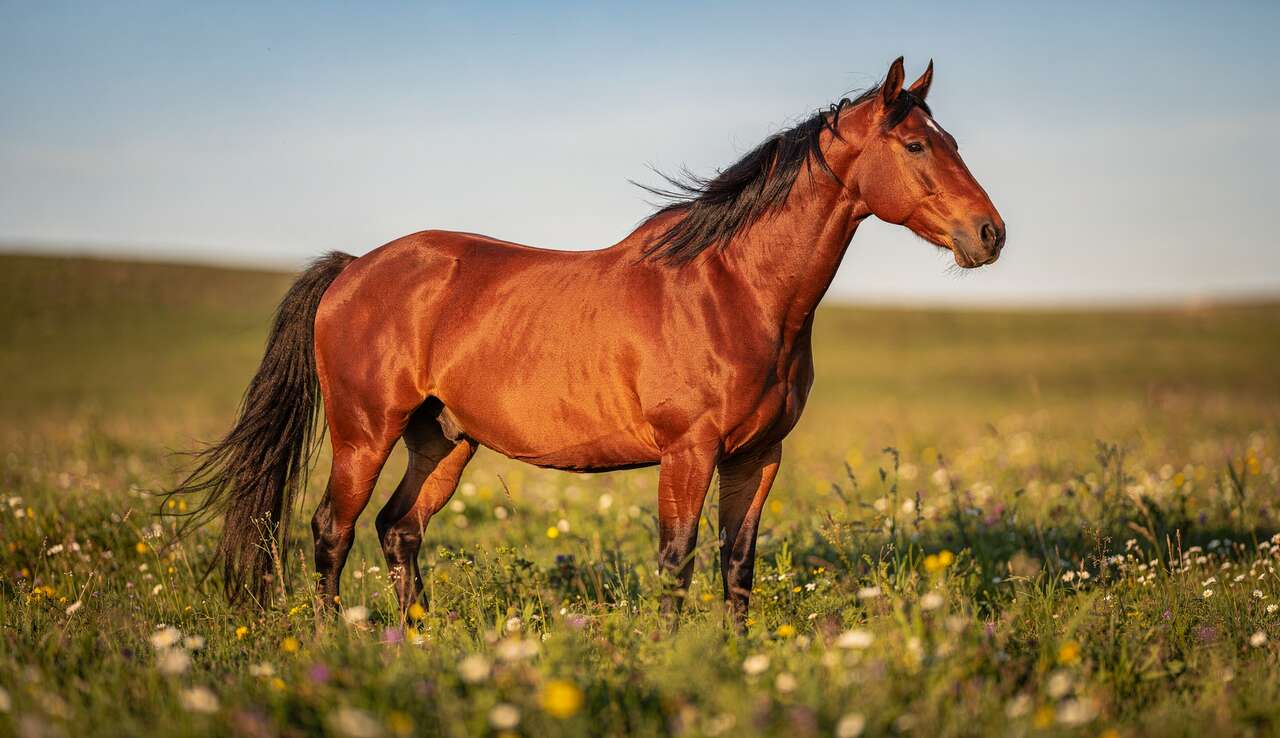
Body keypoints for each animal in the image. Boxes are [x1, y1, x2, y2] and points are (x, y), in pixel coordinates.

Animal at [171, 57, 1005, 625]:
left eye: (953, 140)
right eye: (916, 146)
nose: (990, 235)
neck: (734, 289)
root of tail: (353, 269)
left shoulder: (758, 456)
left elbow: (737, 563)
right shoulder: (688, 452)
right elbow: (677, 560)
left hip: (443, 440)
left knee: (398, 529)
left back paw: (414, 641)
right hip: (363, 432)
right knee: (331, 530)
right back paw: (329, 642)